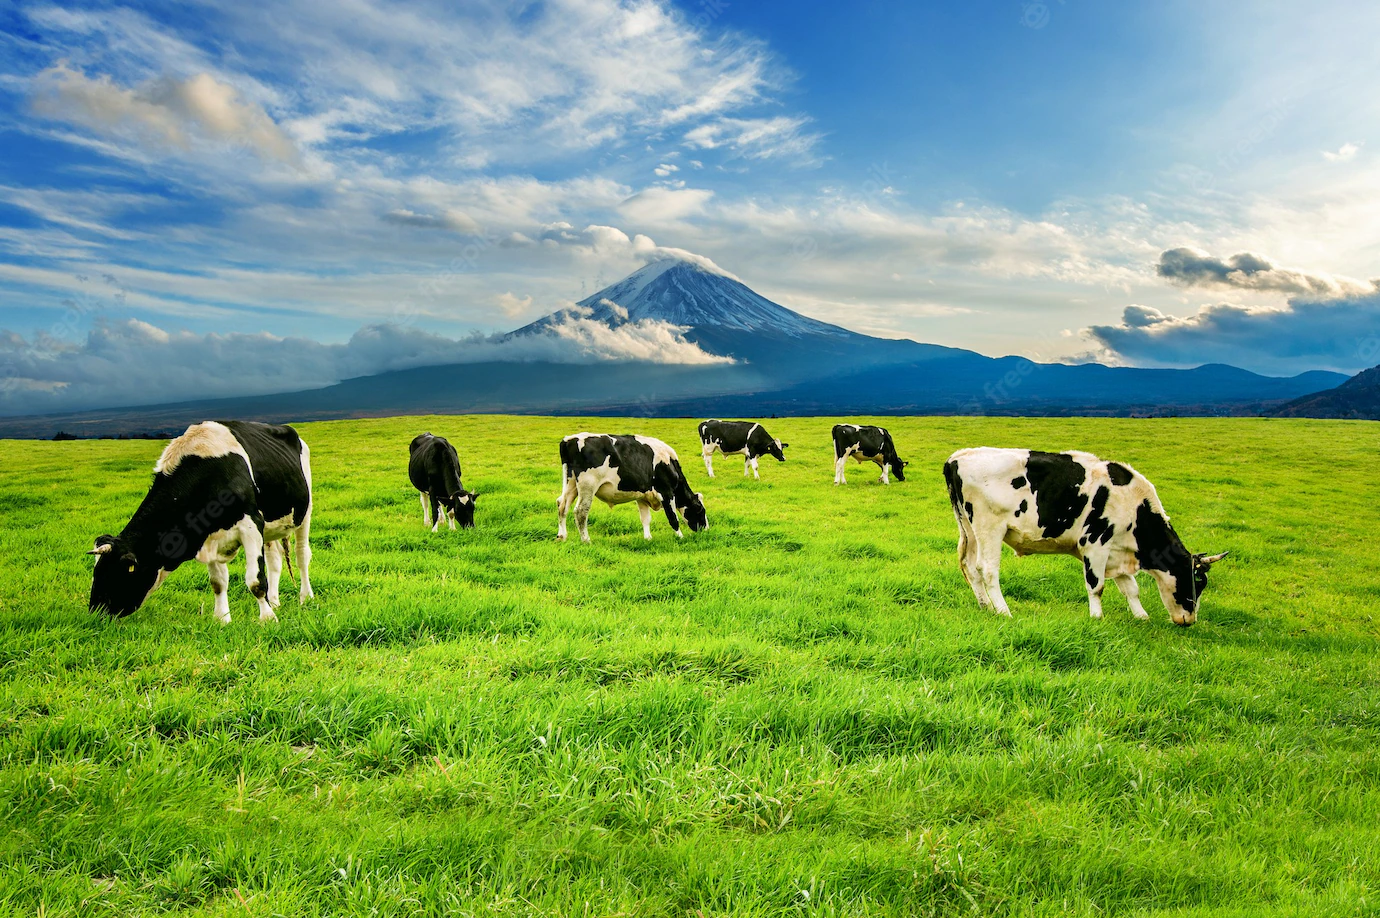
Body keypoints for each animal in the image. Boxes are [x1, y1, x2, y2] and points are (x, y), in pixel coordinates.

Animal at [87, 419, 314, 623]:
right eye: (96, 571)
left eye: (114, 574)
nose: (95, 613)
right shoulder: (208, 534)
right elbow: (218, 582)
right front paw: (222, 619)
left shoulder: (251, 524)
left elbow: (256, 581)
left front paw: (267, 619)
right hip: (271, 527)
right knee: (274, 558)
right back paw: (274, 601)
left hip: (305, 511)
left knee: (302, 555)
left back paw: (306, 598)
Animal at [557, 430, 712, 541]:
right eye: (700, 509)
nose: (706, 530)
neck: (669, 463)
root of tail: (569, 440)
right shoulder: (666, 492)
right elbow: (673, 517)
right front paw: (680, 537)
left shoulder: (642, 496)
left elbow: (645, 519)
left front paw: (648, 538)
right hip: (588, 484)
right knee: (580, 511)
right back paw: (586, 540)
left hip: (571, 483)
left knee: (562, 505)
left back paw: (562, 536)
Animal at [938, 450, 1230, 626]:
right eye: (1197, 581)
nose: (1190, 619)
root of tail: (956, 458)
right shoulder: (1096, 544)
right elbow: (1097, 585)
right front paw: (1097, 617)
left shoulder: (1116, 552)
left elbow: (1131, 588)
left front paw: (1141, 616)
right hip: (989, 527)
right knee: (987, 570)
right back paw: (1002, 610)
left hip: (968, 529)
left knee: (969, 567)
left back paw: (985, 606)